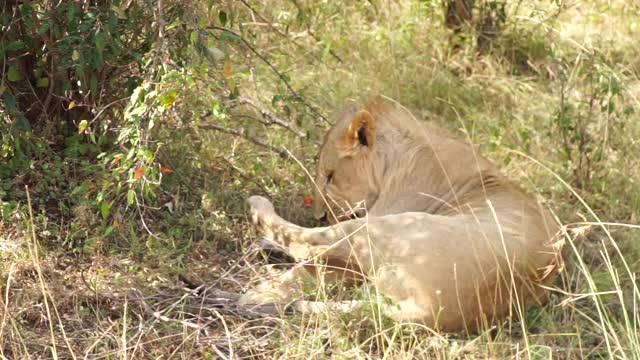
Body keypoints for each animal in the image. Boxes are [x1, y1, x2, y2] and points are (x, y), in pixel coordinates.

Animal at [240, 96, 560, 332]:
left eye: (329, 176)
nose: (320, 215)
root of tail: (430, 312)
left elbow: (307, 263)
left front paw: (265, 291)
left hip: (390, 226)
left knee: (306, 241)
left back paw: (258, 221)